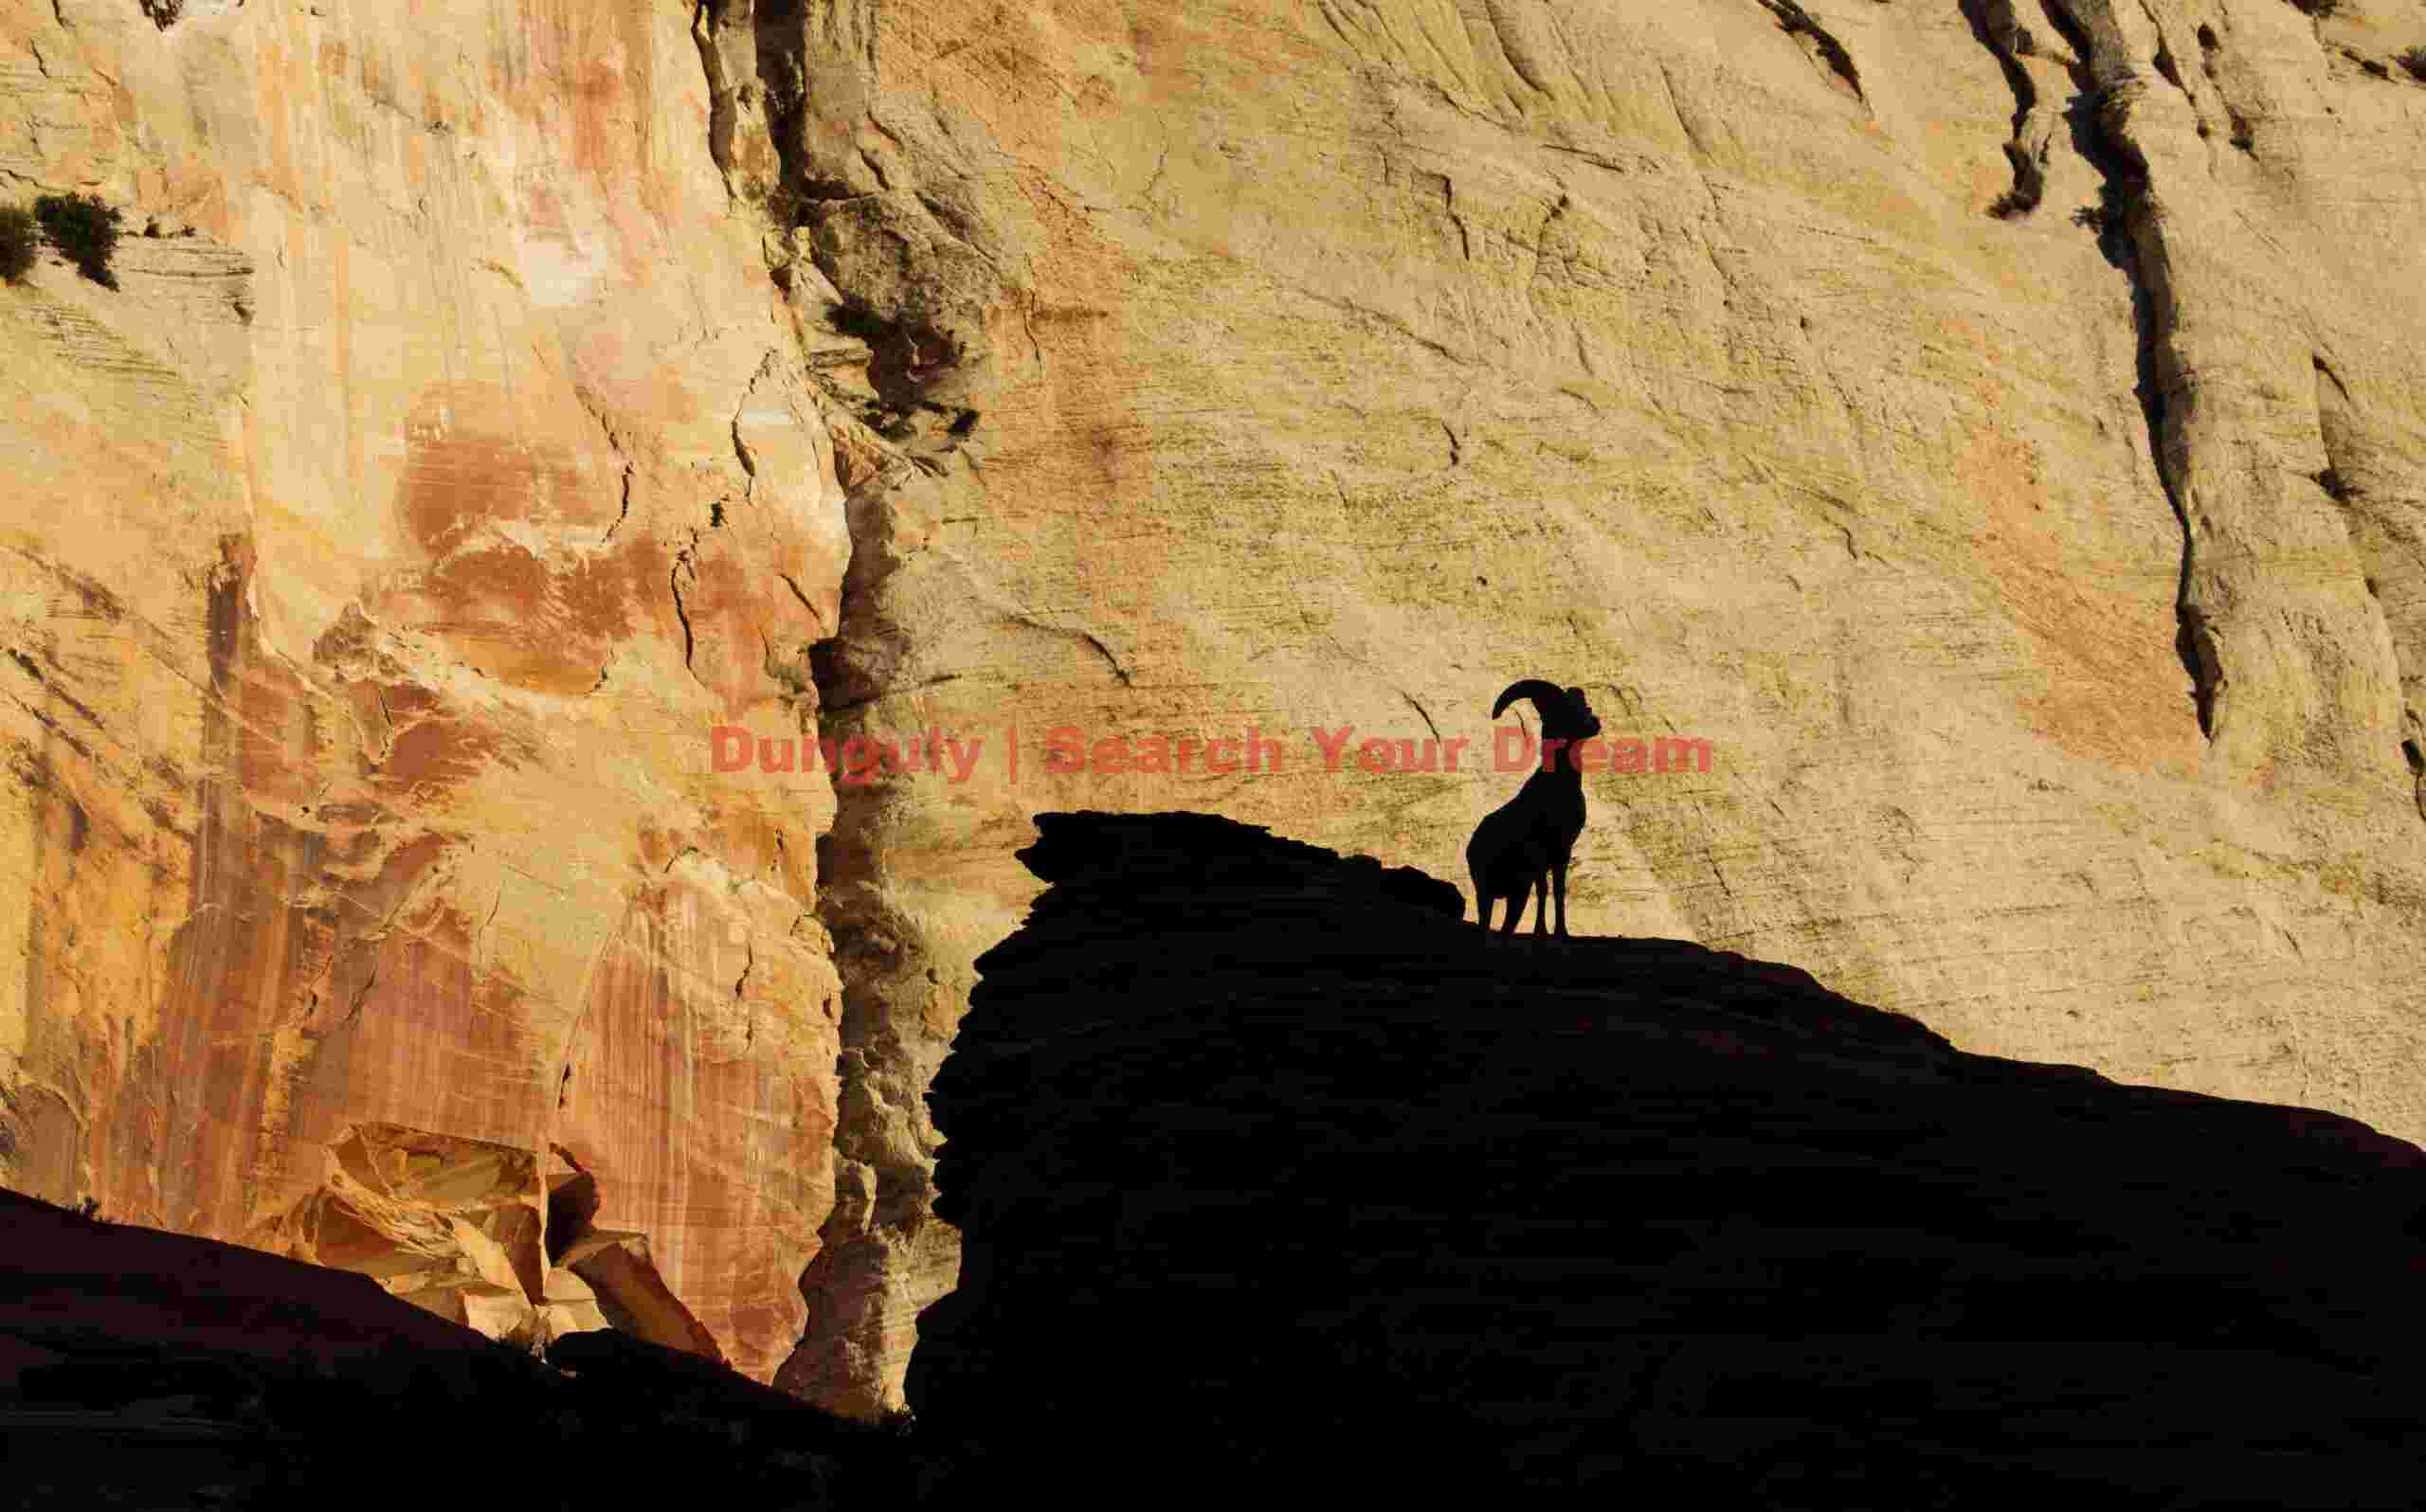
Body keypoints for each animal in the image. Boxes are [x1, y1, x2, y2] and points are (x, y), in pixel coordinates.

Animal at [1466, 680, 1601, 938]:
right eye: (1566, 710)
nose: (1595, 721)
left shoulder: (1563, 851)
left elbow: (1558, 890)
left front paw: (1561, 932)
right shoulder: (1538, 852)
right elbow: (1543, 889)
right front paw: (1541, 931)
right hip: (1487, 892)